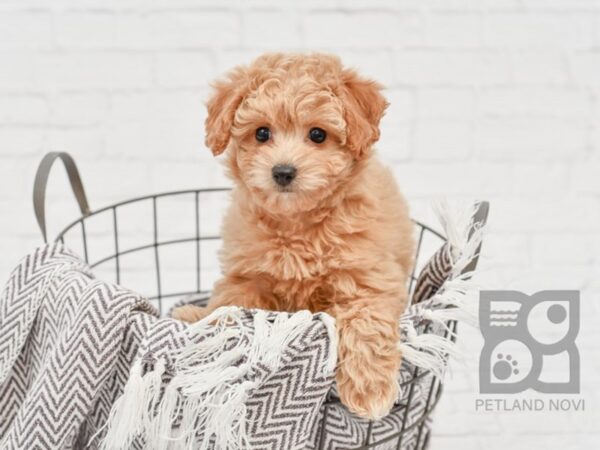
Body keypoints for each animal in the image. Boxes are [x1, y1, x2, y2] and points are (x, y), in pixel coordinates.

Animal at [173, 53, 414, 422]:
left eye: (317, 134)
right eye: (261, 133)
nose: (283, 172)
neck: (298, 224)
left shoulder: (368, 280)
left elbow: (367, 327)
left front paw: (369, 390)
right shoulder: (246, 275)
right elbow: (227, 307)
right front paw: (204, 326)